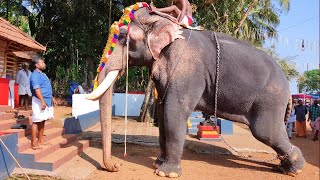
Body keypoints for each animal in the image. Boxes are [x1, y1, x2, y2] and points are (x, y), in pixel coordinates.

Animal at [85, 6, 304, 178]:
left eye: (123, 37)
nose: (117, 165)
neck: (162, 20)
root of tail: (288, 85)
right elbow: (163, 113)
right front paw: (158, 163)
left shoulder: (186, 69)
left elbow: (174, 112)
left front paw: (167, 173)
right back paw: (285, 167)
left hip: (269, 101)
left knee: (266, 132)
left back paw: (295, 169)